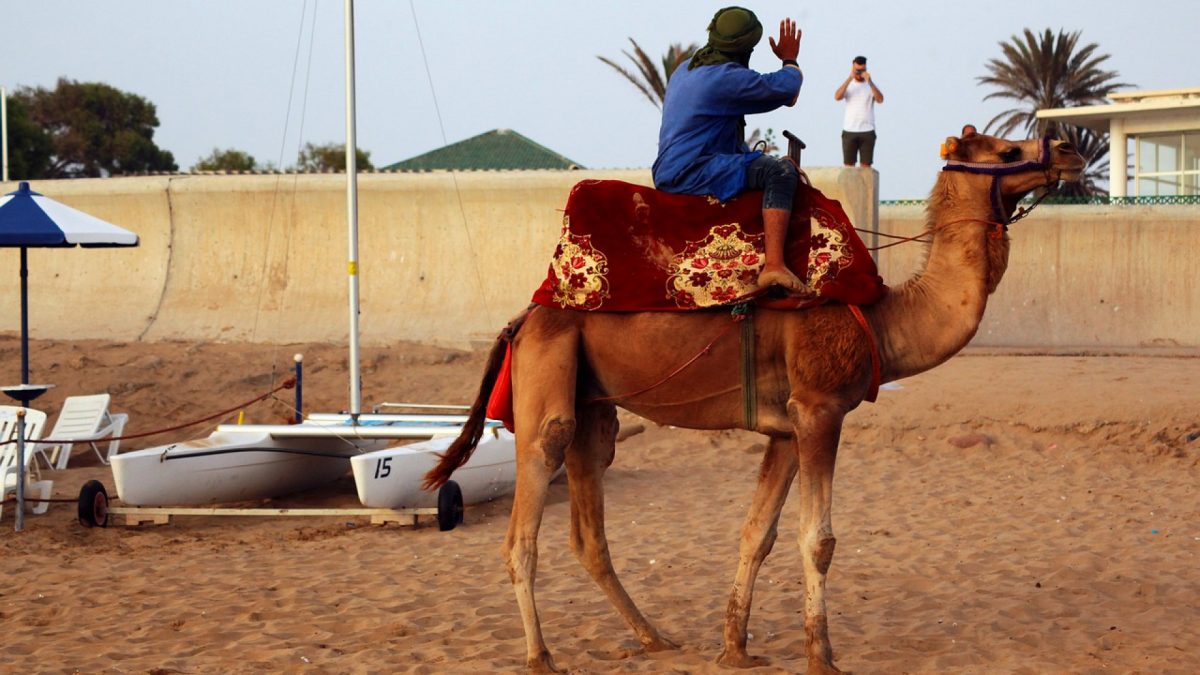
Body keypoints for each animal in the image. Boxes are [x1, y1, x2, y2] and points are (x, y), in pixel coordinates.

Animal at [424, 132, 1089, 672]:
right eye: (1006, 149)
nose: (1068, 150)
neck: (881, 319)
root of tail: (523, 317)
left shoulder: (787, 427)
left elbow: (756, 534)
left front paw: (735, 648)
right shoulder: (820, 408)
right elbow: (818, 539)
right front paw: (822, 657)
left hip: (595, 406)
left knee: (590, 529)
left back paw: (656, 639)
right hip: (549, 378)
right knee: (527, 514)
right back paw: (541, 656)